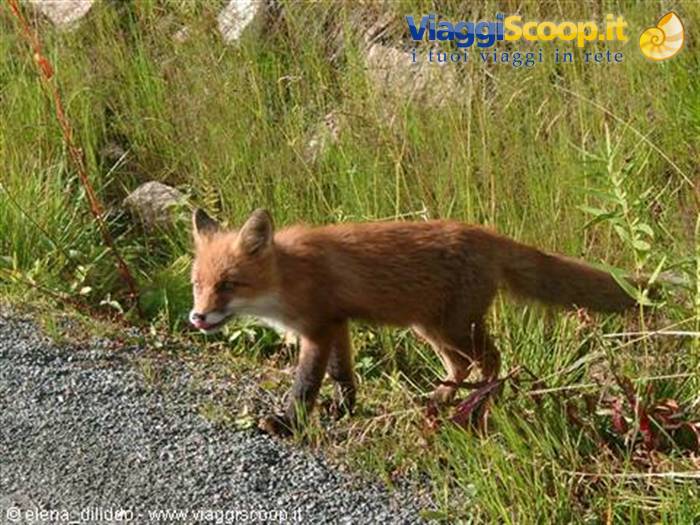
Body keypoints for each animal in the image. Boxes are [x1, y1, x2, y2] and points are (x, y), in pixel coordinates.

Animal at [189, 208, 638, 436]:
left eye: (228, 285)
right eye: (197, 284)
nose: (197, 317)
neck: (288, 276)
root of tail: (485, 233)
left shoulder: (317, 329)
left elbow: (305, 385)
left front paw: (287, 423)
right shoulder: (337, 323)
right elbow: (343, 374)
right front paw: (344, 409)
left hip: (454, 327)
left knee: (492, 362)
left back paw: (477, 409)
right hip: (431, 327)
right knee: (462, 366)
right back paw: (438, 402)